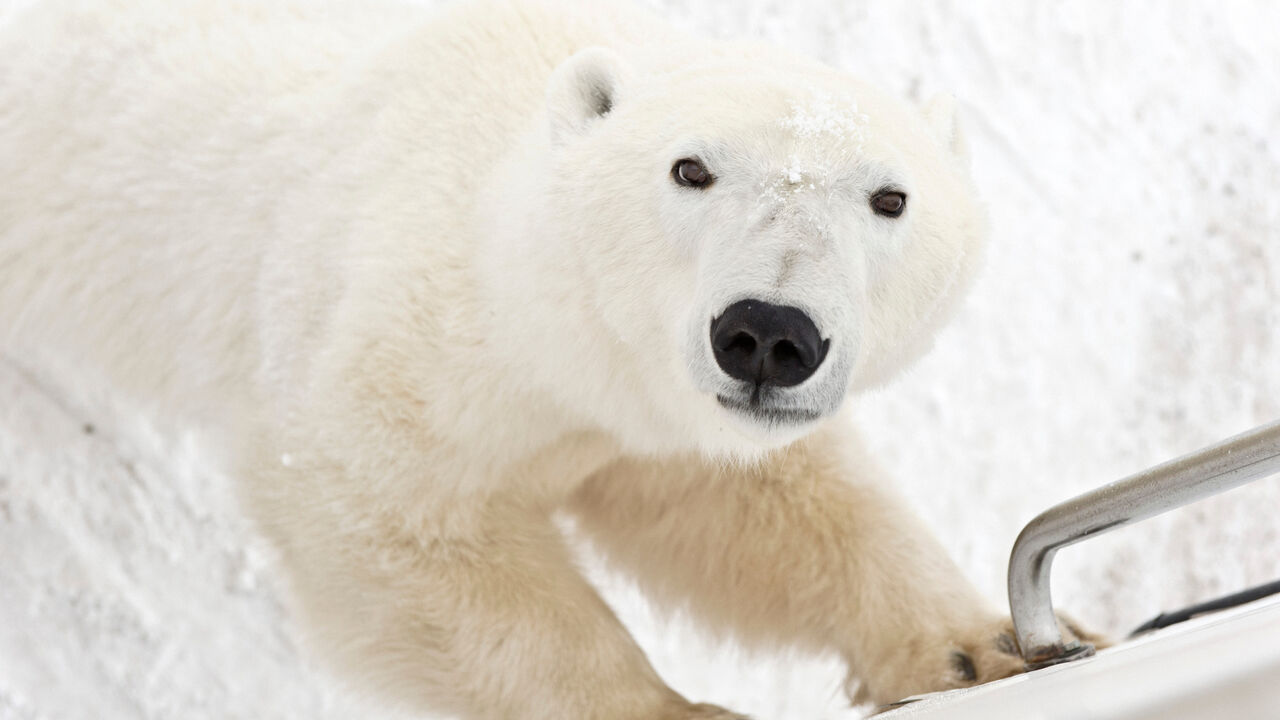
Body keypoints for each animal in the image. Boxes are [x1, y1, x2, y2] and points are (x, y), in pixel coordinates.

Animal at [2, 0, 1100, 712]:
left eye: (890, 197)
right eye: (690, 168)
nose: (767, 333)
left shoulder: (660, 414)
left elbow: (765, 508)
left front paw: (986, 647)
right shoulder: (416, 332)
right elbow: (389, 515)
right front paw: (673, 711)